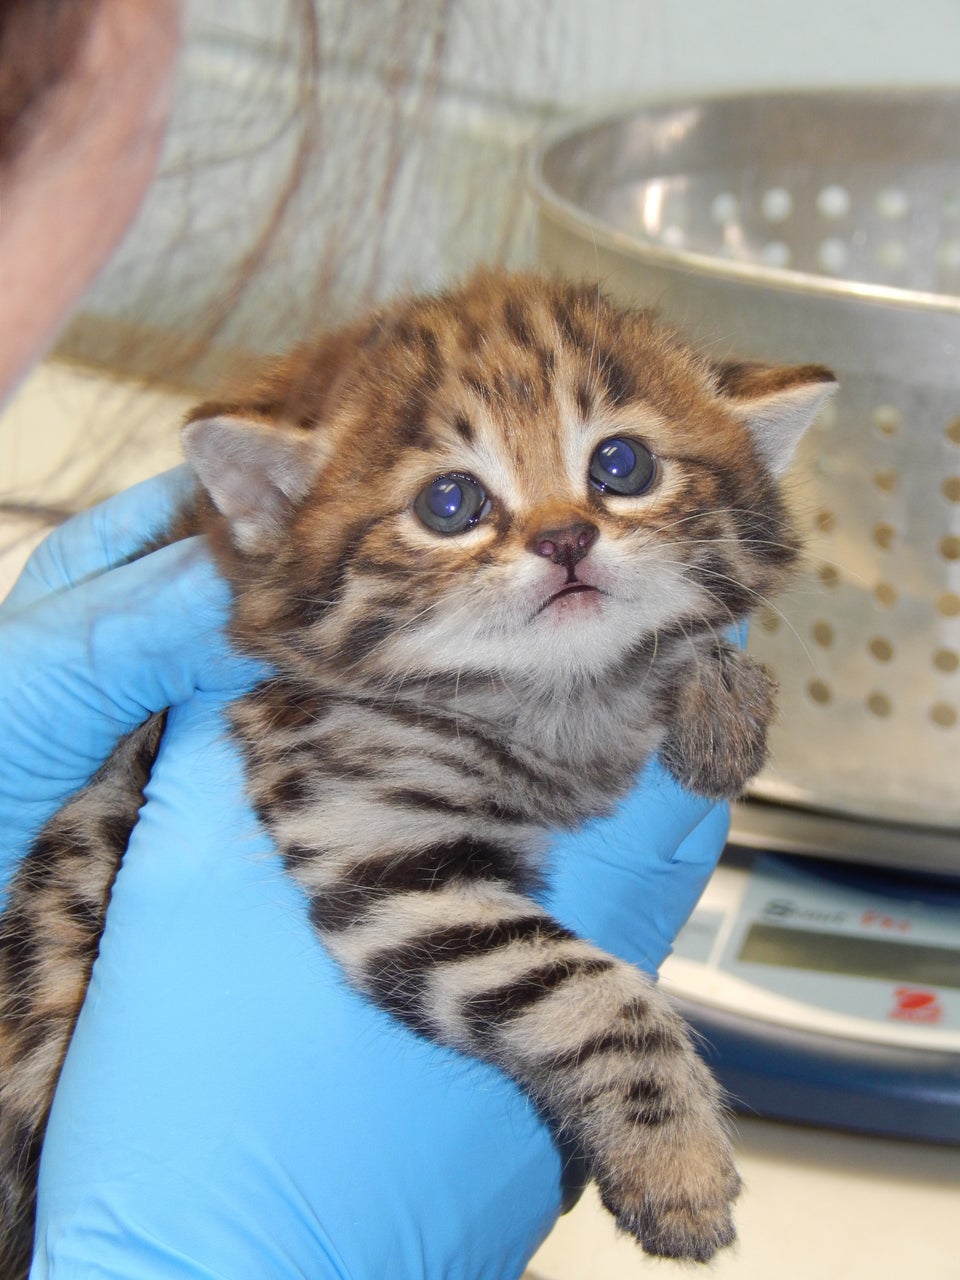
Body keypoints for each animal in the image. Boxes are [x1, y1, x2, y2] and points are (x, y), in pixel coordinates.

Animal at [0, 270, 834, 1269]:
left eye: (622, 465)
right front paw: (674, 1159)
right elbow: (582, 989)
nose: (566, 540)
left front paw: (718, 693)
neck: (551, 696)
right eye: (450, 503)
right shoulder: (374, 837)